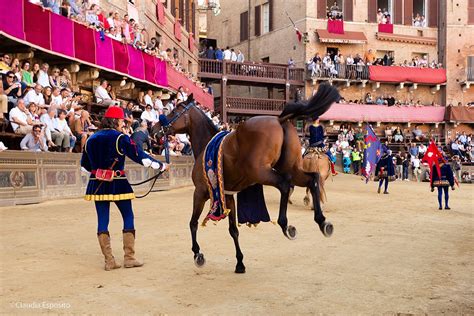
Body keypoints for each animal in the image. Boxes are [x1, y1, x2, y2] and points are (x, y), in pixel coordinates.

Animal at [152, 83, 340, 272]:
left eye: (174, 110)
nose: (154, 129)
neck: (207, 144)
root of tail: (279, 120)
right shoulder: (227, 196)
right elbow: (233, 230)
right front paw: (240, 262)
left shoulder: (200, 193)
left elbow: (193, 223)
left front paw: (198, 253)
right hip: (291, 170)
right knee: (312, 180)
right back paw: (322, 221)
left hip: (262, 173)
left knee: (285, 185)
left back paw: (286, 224)